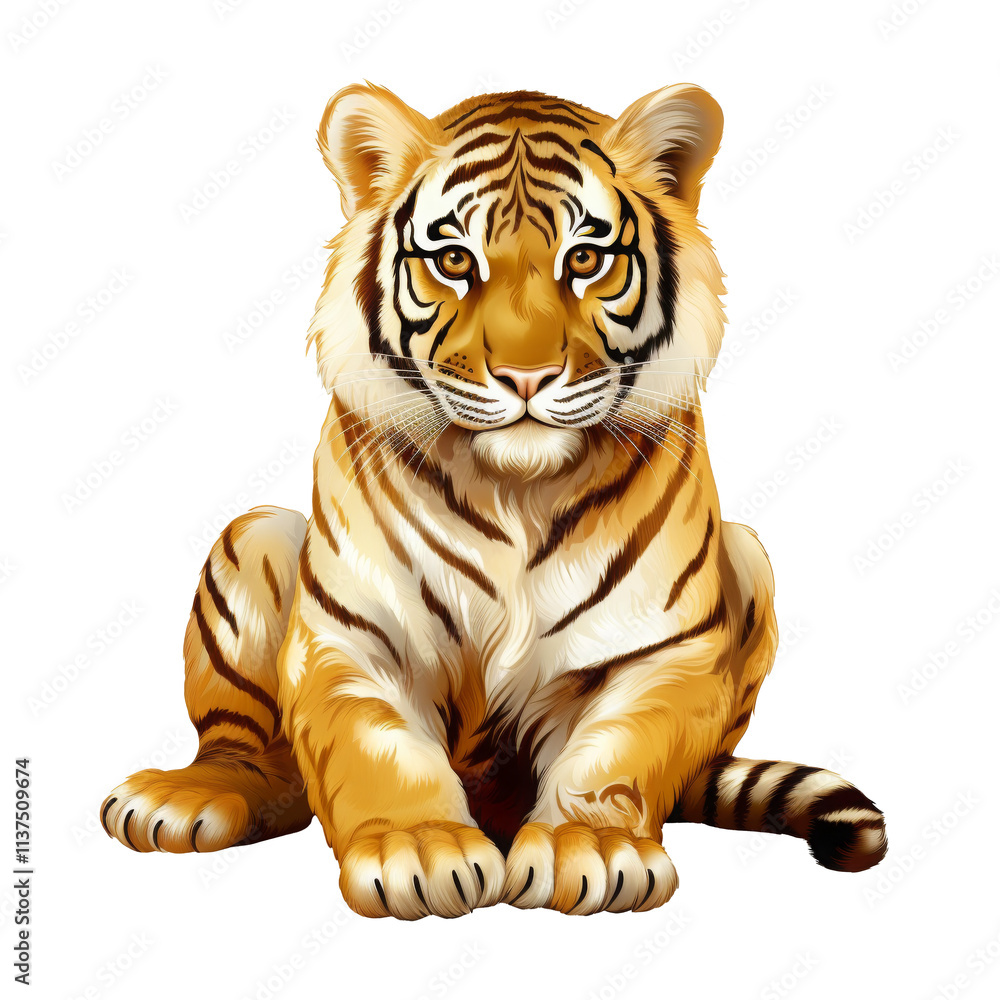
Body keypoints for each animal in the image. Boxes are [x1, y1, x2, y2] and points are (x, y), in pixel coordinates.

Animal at [100, 83, 888, 919]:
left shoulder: (663, 651)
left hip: (749, 553)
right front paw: (420, 849)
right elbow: (379, 747)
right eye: (454, 261)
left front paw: (590, 848)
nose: (526, 376)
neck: (516, 488)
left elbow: (613, 752)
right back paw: (182, 797)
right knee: (255, 760)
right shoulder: (351, 640)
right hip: (251, 538)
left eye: (585, 259)